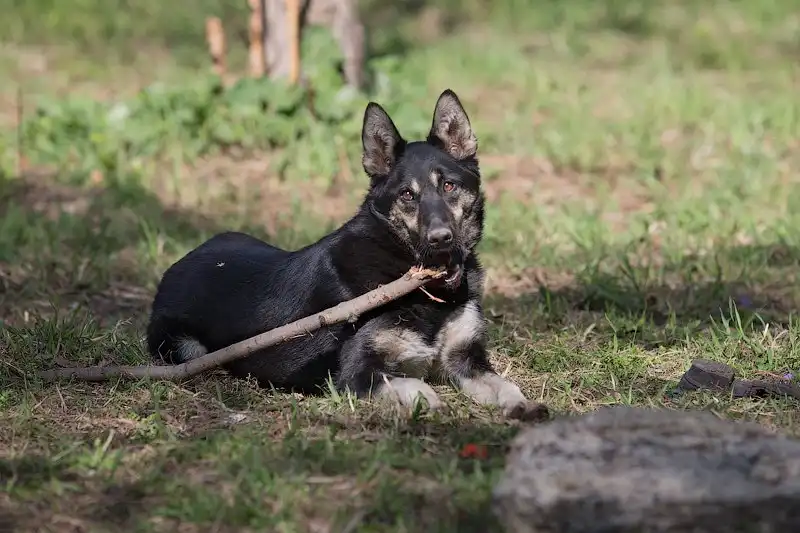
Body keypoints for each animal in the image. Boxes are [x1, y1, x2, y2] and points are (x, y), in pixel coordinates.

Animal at [146, 89, 548, 421]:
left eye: (449, 185)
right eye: (407, 195)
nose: (440, 239)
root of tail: (178, 264)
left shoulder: (466, 359)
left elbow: (504, 382)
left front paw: (521, 403)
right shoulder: (355, 373)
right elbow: (417, 385)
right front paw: (433, 405)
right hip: (187, 349)